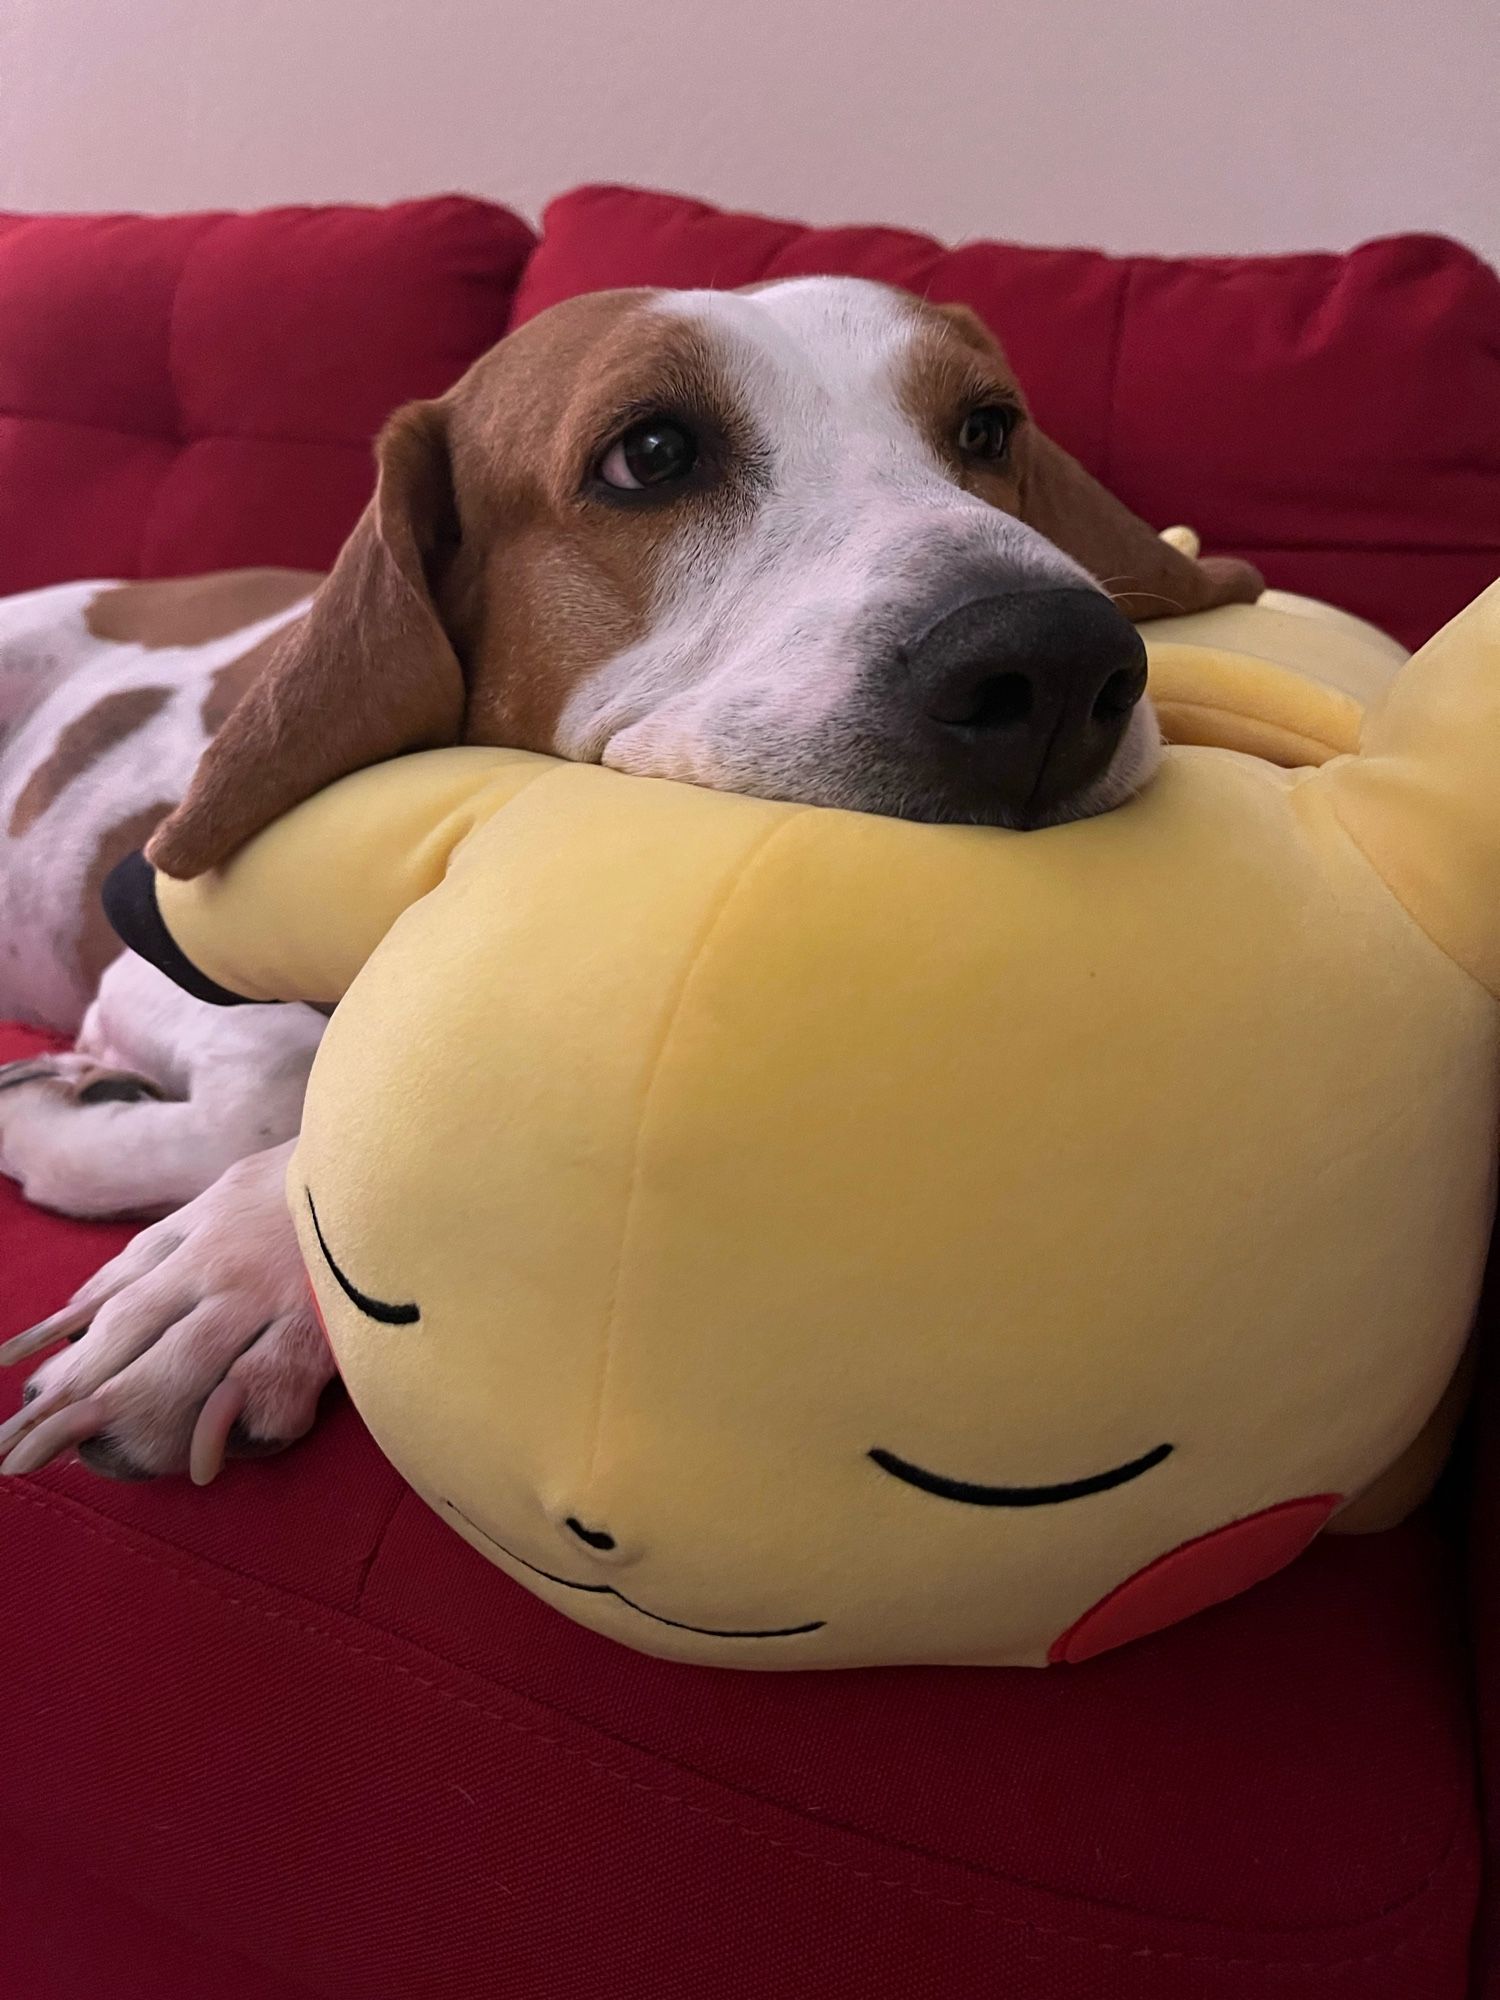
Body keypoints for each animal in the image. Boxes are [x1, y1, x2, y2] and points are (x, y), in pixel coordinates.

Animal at [0, 274, 1264, 1488]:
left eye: (989, 427)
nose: (1056, 661)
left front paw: (235, 1261)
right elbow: (276, 1075)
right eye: (650, 454)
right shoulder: (154, 959)